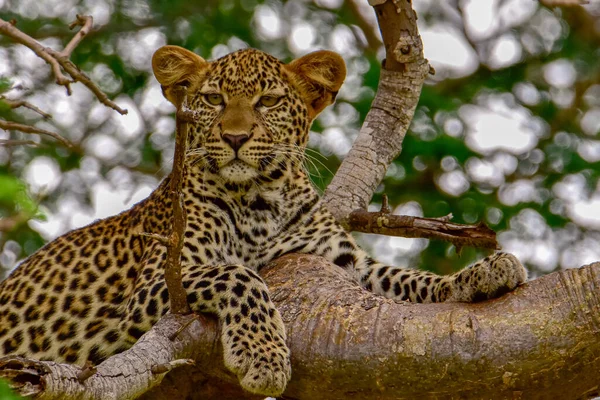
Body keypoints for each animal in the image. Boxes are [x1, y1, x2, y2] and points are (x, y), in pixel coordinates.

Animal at [0, 44, 524, 396]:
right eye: (213, 99)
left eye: (268, 102)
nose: (235, 137)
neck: (260, 200)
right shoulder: (161, 279)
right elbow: (240, 275)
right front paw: (264, 357)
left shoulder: (343, 264)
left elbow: (410, 279)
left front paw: (481, 272)